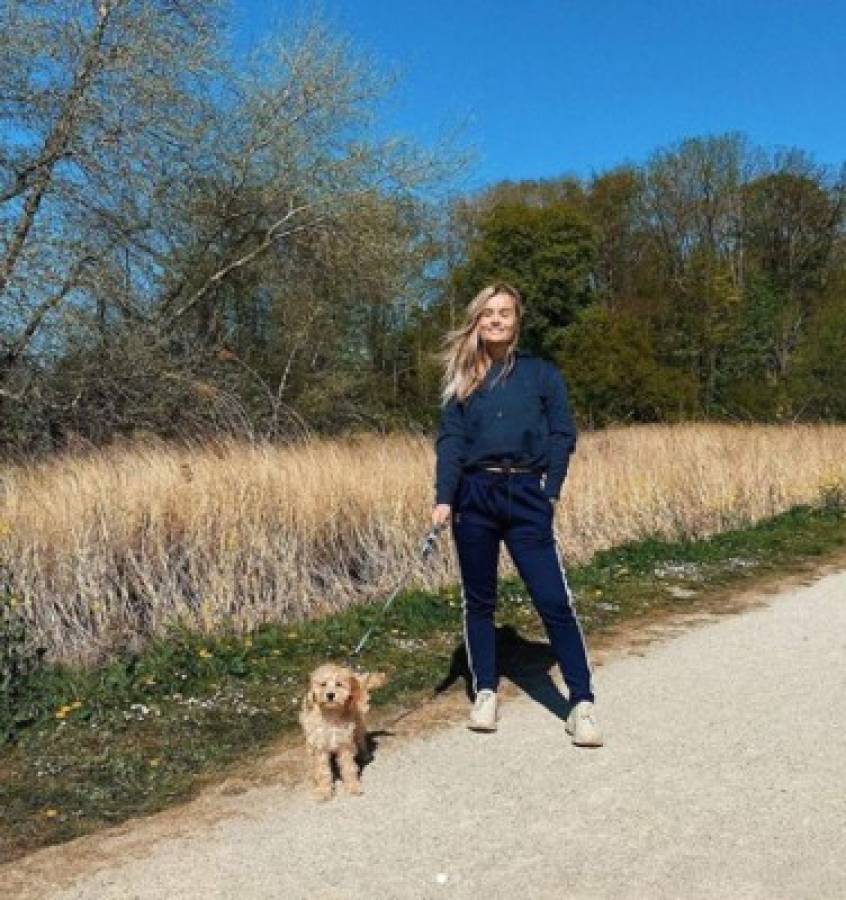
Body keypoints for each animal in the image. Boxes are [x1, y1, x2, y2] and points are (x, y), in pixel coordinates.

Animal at [298, 660, 388, 800]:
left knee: (360, 739)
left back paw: (365, 755)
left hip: (358, 725)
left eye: (339, 684)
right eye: (323, 684)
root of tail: (355, 677)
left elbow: (348, 767)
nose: (330, 695)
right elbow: (322, 771)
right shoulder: (319, 747)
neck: (330, 714)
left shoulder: (344, 745)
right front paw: (324, 791)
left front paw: (353, 786)